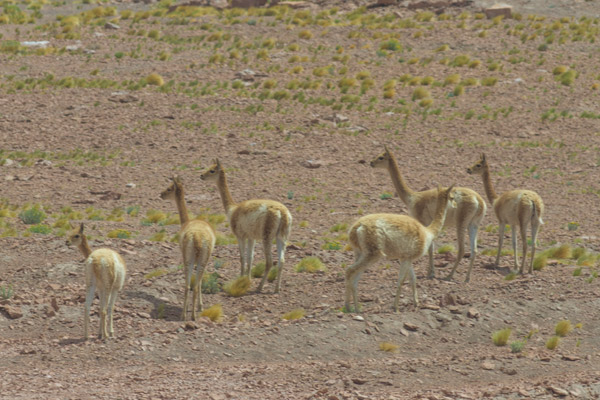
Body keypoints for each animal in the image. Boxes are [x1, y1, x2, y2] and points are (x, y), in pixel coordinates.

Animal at [161, 176, 216, 320]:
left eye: (169, 188)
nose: (161, 194)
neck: (186, 222)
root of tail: (197, 237)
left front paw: (199, 306)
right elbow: (200, 282)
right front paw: (200, 306)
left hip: (190, 259)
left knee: (188, 286)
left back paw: (185, 315)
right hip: (199, 260)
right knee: (192, 286)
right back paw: (190, 316)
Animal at [200, 159, 292, 293]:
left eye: (212, 170)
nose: (201, 175)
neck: (232, 209)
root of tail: (283, 212)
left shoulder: (240, 236)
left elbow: (242, 258)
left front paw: (240, 279)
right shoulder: (251, 237)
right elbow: (250, 258)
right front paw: (247, 279)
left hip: (267, 236)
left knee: (270, 262)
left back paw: (260, 287)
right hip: (281, 237)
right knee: (281, 261)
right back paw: (277, 288)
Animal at [345, 185, 456, 313]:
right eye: (452, 197)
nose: (455, 205)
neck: (428, 232)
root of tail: (356, 227)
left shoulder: (406, 258)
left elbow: (413, 278)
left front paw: (416, 303)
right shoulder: (406, 258)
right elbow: (401, 280)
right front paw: (396, 307)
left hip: (360, 253)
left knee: (355, 277)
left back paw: (355, 308)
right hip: (373, 254)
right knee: (350, 271)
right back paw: (349, 307)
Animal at [370, 146, 486, 282]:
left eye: (381, 157)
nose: (371, 162)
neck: (412, 198)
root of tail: (479, 200)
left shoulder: (423, 222)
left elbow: (430, 248)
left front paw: (430, 273)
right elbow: (431, 247)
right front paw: (430, 272)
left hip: (461, 223)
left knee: (462, 250)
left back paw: (449, 275)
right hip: (473, 224)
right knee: (474, 250)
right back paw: (467, 278)